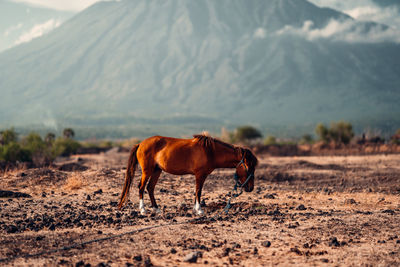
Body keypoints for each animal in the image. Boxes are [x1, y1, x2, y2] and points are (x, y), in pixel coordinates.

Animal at [118, 134, 260, 216]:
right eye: (249, 168)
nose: (250, 188)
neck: (211, 151)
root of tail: (140, 144)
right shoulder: (200, 175)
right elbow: (198, 191)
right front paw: (199, 210)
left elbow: (196, 192)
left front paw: (195, 209)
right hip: (147, 171)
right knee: (141, 187)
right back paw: (143, 210)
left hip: (157, 171)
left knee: (150, 188)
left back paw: (156, 209)